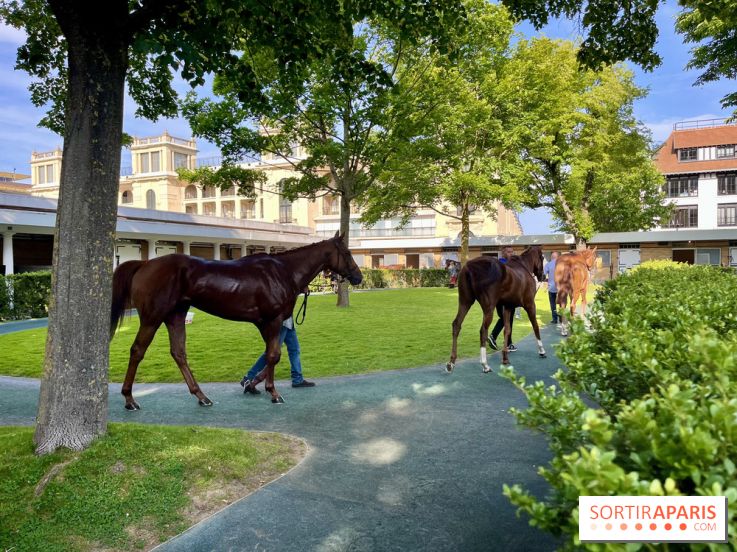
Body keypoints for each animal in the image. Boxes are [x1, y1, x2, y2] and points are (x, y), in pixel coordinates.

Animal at [110, 232, 362, 408]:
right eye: (348, 253)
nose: (359, 277)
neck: (283, 271)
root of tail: (144, 264)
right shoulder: (273, 320)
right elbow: (273, 355)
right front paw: (273, 392)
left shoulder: (265, 323)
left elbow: (272, 354)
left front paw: (253, 384)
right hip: (152, 318)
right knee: (137, 350)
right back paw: (129, 399)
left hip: (176, 316)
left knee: (179, 353)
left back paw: (202, 396)